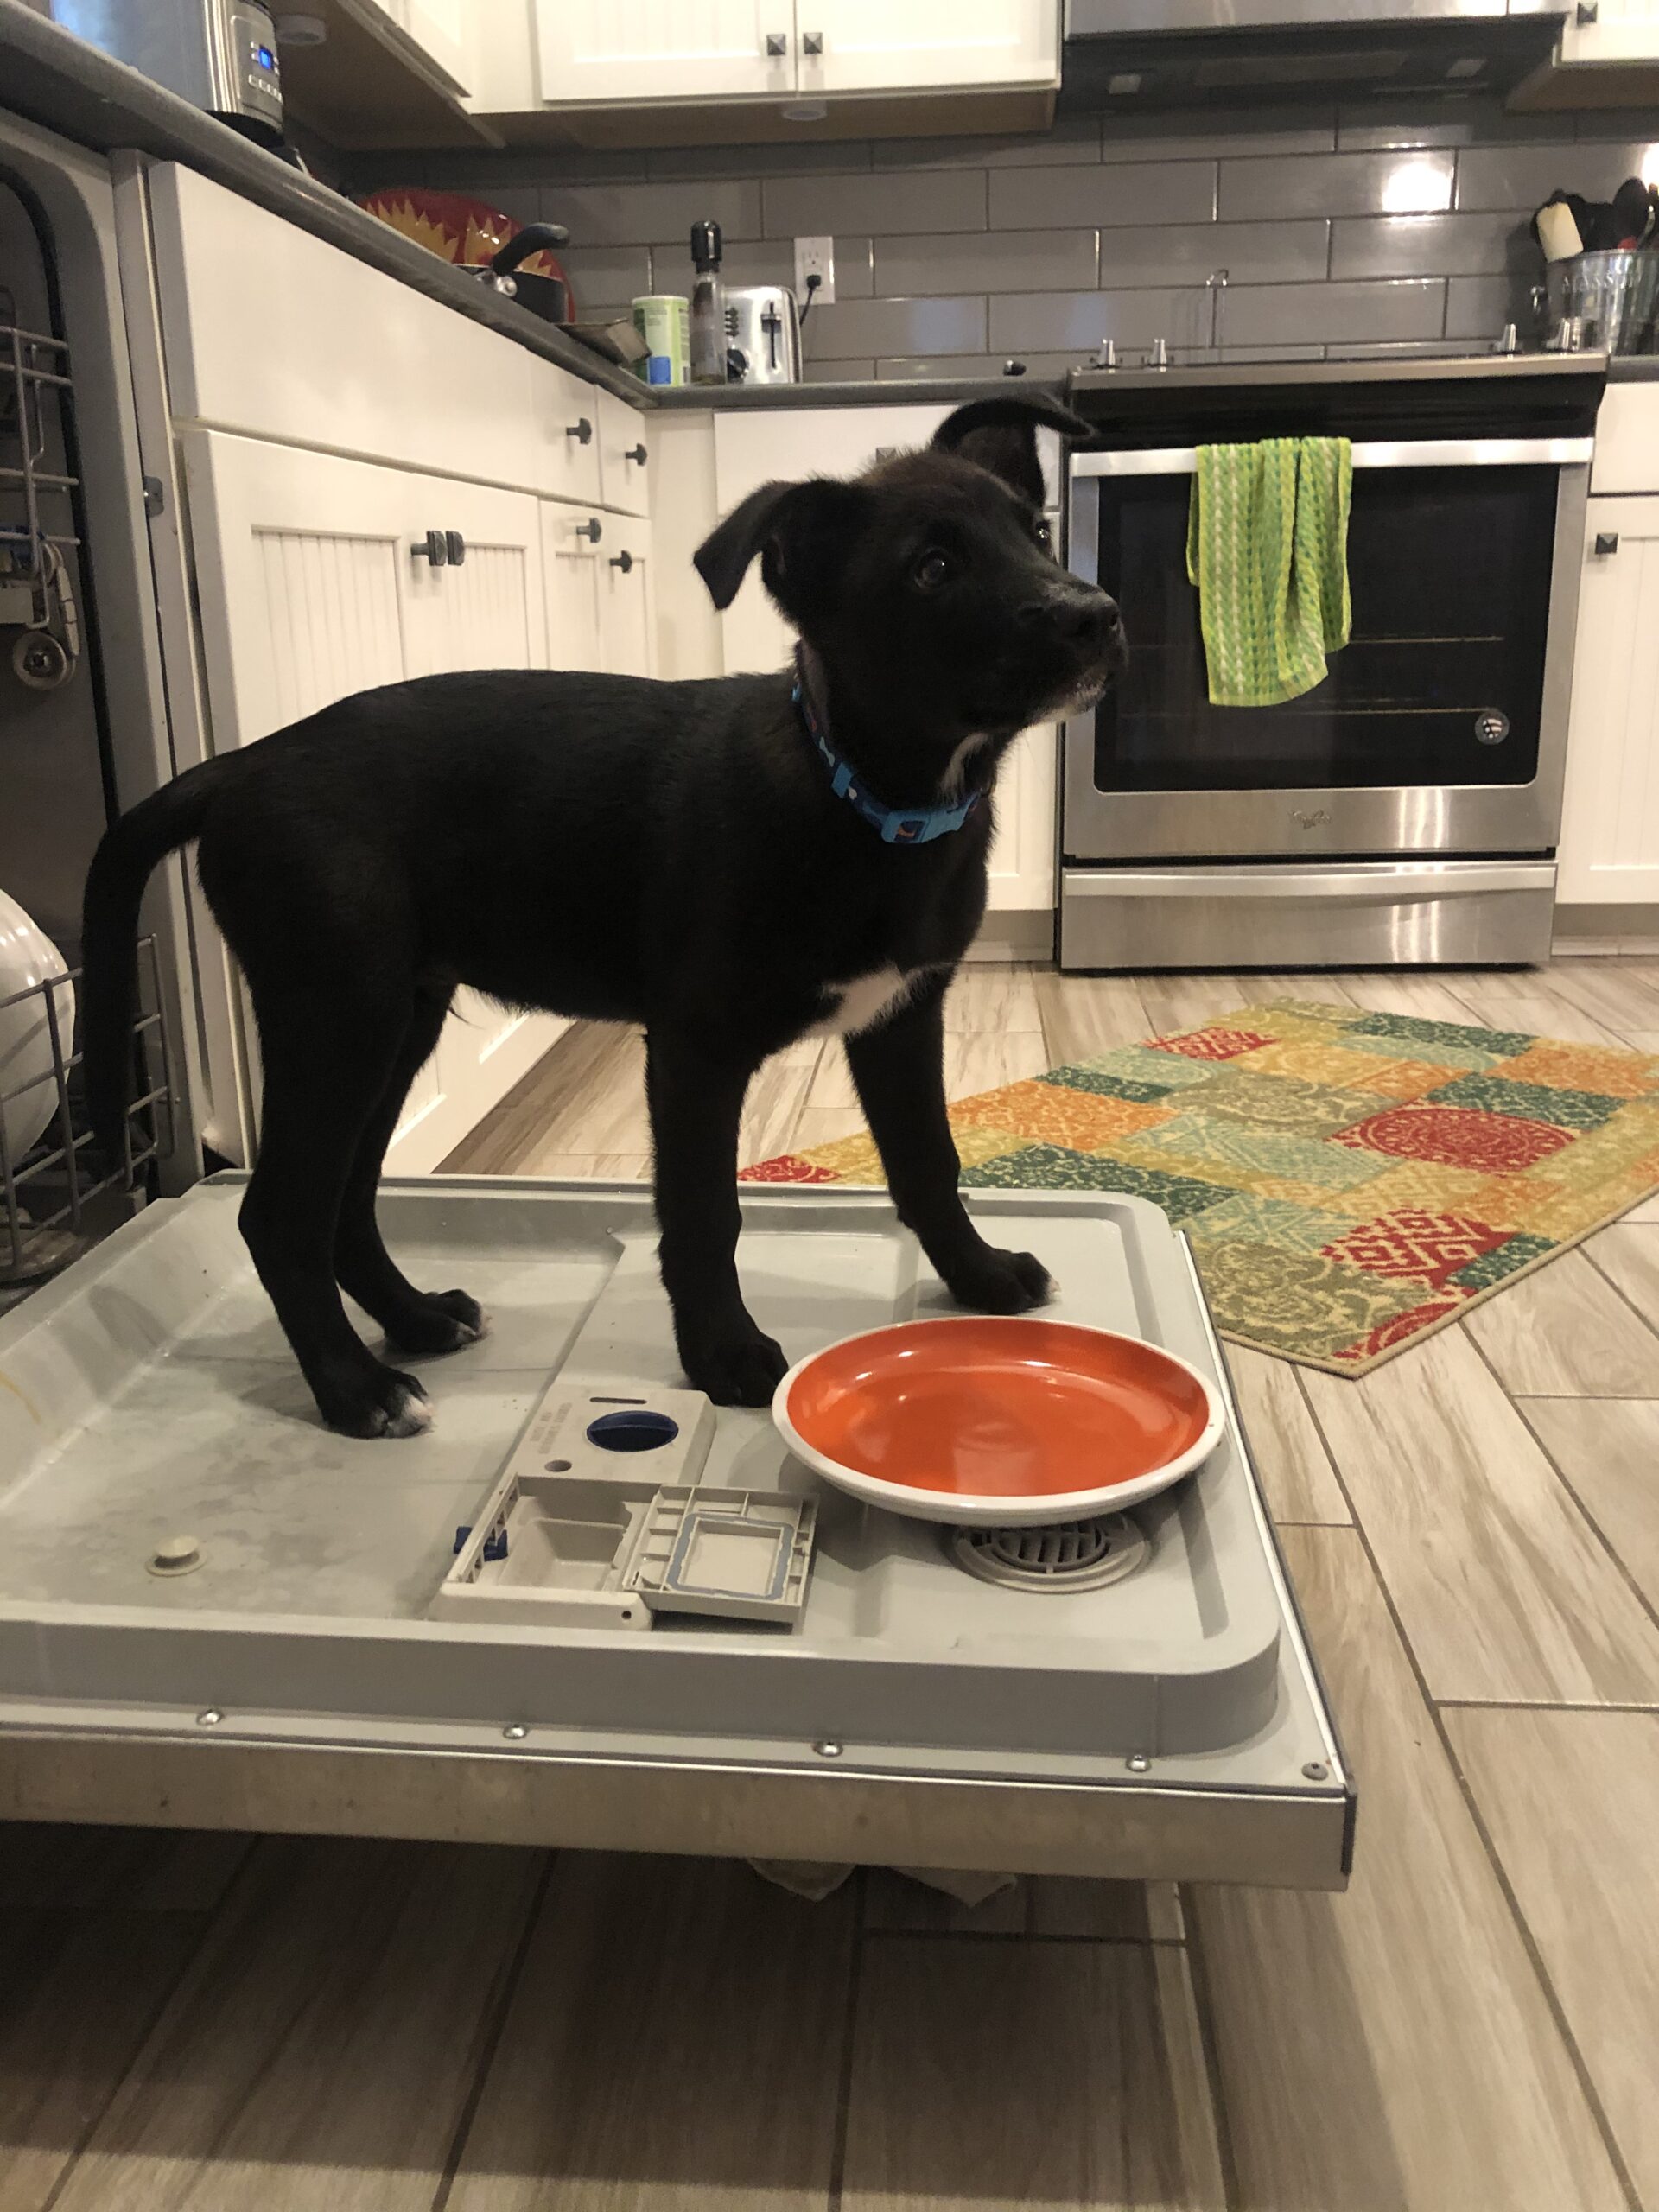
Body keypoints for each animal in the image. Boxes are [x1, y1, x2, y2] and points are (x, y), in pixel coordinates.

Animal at [74, 396, 1119, 1433]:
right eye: (932, 568)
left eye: (1037, 533)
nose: (1098, 616)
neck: (868, 800)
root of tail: (239, 765)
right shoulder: (696, 1049)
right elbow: (704, 1212)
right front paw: (722, 1355)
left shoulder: (901, 1018)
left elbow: (928, 1161)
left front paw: (979, 1276)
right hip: (338, 1013)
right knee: (282, 1215)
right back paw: (355, 1388)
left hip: (398, 1019)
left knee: (350, 1199)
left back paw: (415, 1320)